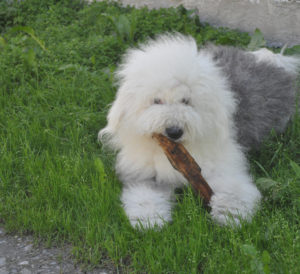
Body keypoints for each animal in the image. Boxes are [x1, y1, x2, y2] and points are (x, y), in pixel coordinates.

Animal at [98, 33, 298, 227]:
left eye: (186, 101)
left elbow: (234, 187)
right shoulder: (144, 174)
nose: (174, 131)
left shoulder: (224, 165)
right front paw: (148, 219)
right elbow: (144, 194)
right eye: (157, 100)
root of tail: (269, 59)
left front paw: (229, 214)